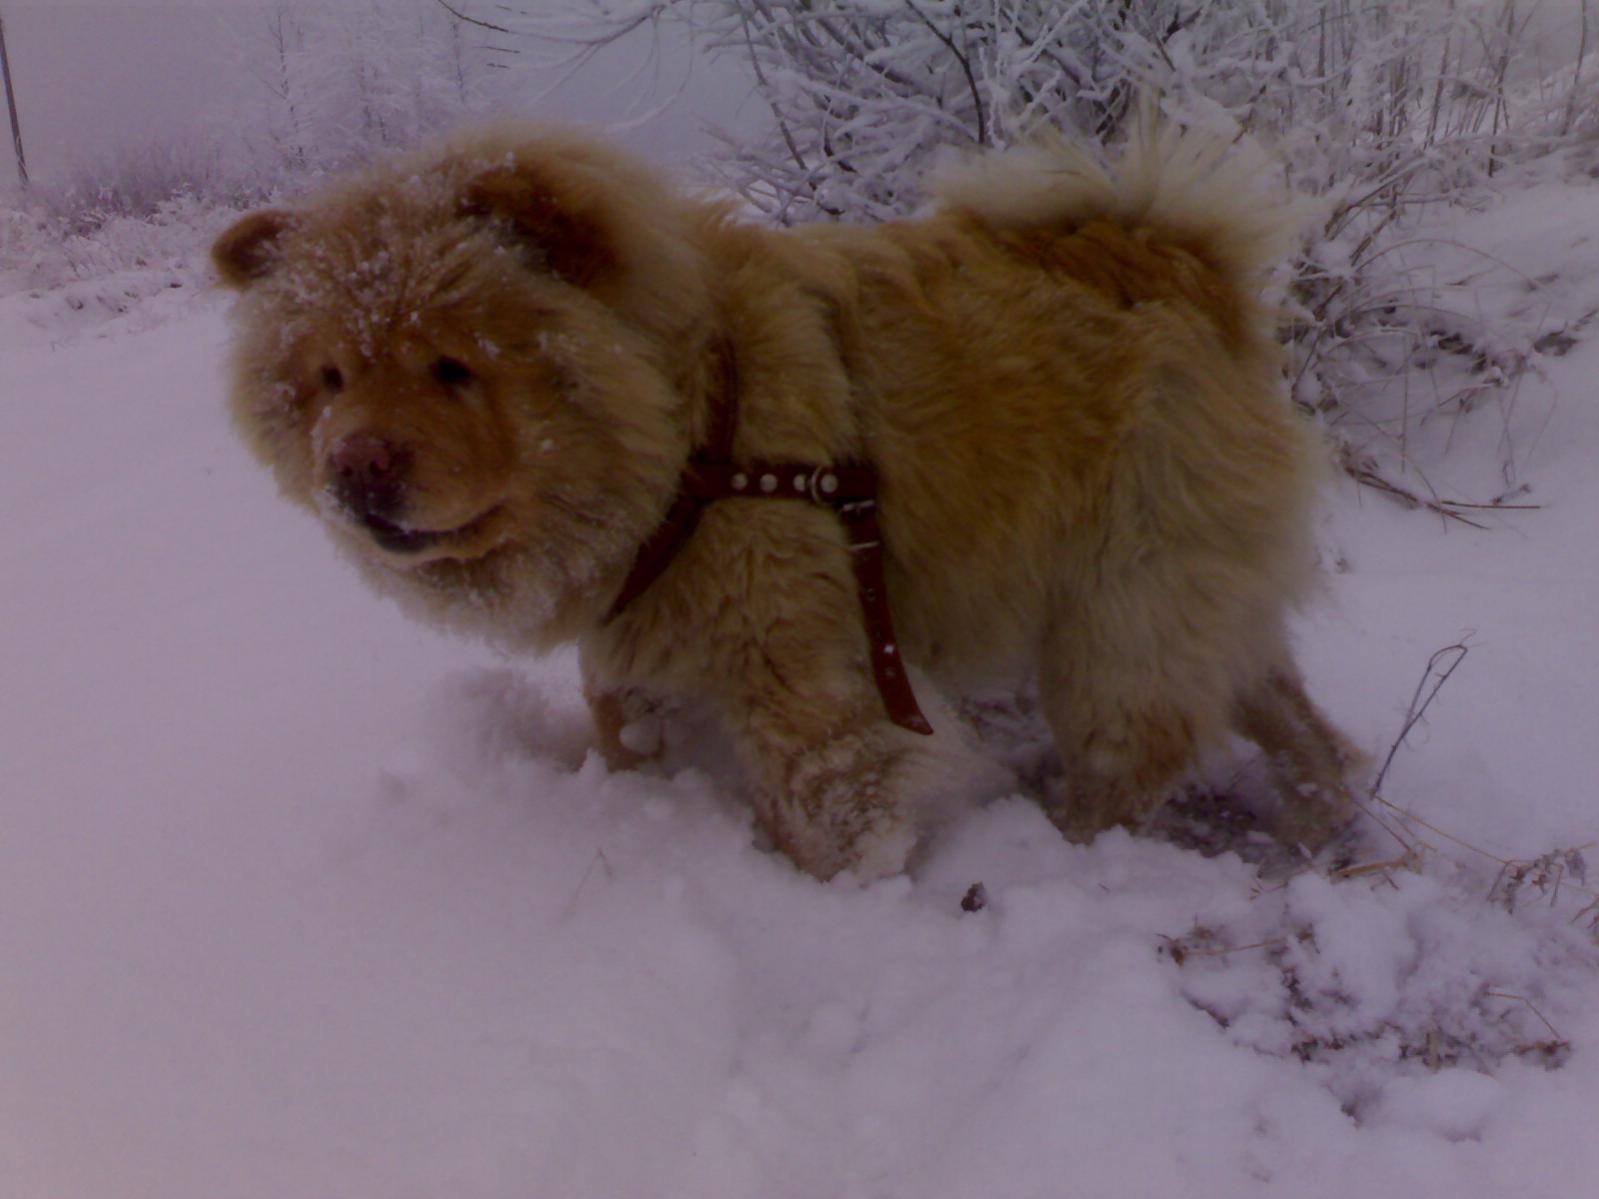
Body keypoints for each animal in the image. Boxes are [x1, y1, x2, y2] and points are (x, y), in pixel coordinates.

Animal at [212, 121, 1360, 881]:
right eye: (328, 379)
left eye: (454, 367)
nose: (354, 464)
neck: (693, 426)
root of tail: (1175, 259)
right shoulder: (642, 627)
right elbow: (620, 722)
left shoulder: (797, 661)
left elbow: (827, 804)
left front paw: (838, 900)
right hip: (1188, 600)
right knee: (1288, 712)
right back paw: (1318, 821)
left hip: (1118, 613)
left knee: (1136, 748)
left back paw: (1066, 846)